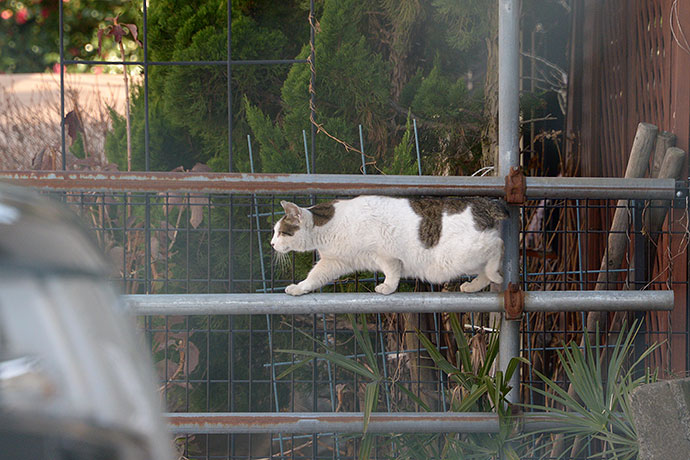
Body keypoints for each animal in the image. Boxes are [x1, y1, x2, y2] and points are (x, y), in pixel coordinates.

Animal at [270, 196, 506, 296]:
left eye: (281, 232)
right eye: (275, 231)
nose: (271, 243)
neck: (328, 227)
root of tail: (485, 203)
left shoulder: (385, 255)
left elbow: (392, 274)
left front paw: (387, 288)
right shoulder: (334, 262)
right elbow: (313, 278)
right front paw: (299, 288)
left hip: (459, 255)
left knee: (499, 246)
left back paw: (495, 274)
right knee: (485, 271)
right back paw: (473, 286)